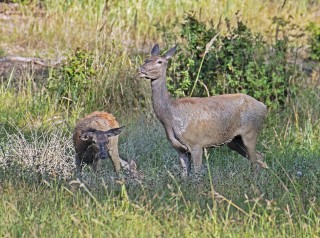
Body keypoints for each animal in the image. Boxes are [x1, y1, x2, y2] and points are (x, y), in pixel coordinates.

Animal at [139, 43, 268, 176]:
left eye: (159, 61)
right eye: (146, 59)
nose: (141, 69)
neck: (169, 118)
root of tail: (263, 106)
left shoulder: (196, 144)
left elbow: (197, 174)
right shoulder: (180, 149)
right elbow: (184, 176)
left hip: (250, 132)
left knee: (255, 158)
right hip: (234, 140)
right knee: (259, 156)